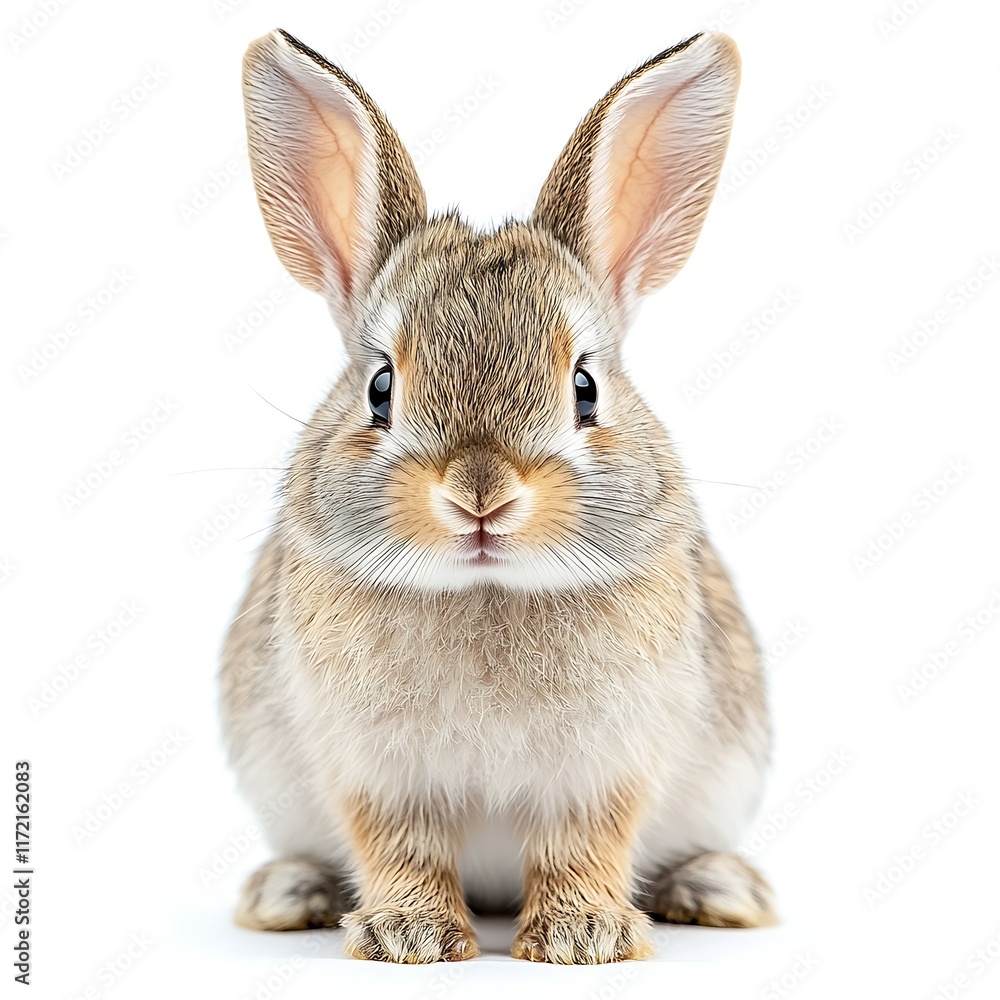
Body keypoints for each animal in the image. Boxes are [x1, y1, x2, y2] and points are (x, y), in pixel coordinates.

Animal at [220, 27, 775, 965]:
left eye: (585, 389)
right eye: (379, 389)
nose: (481, 494)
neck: (484, 588)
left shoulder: (602, 767)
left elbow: (583, 845)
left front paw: (583, 937)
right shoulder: (376, 772)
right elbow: (399, 845)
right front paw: (409, 936)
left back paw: (717, 887)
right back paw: (288, 892)